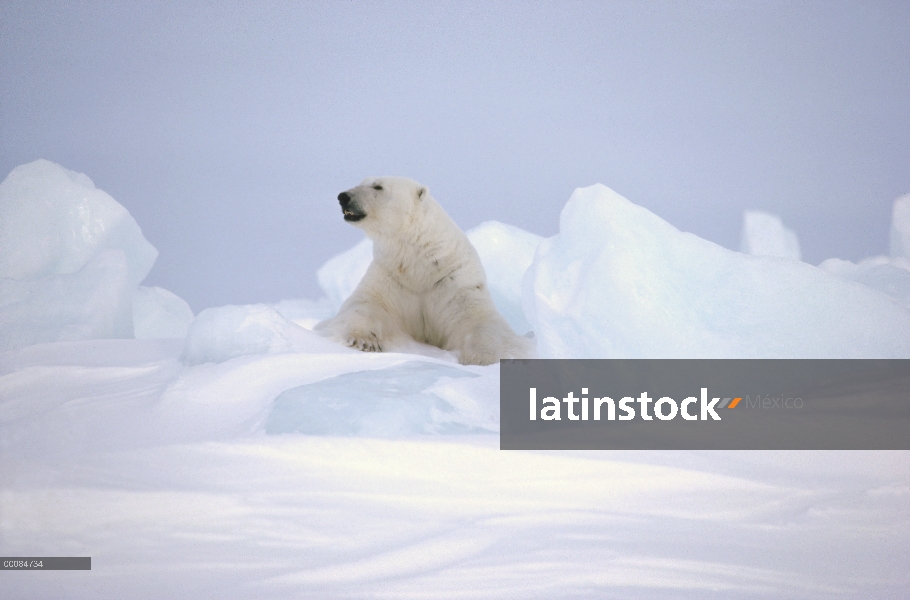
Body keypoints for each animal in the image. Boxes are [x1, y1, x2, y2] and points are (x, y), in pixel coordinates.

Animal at [318, 176, 536, 366]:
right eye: (361, 182)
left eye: (378, 186)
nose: (343, 196)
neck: (420, 267)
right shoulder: (389, 277)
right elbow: (365, 305)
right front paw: (363, 341)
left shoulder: (454, 283)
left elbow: (479, 320)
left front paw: (479, 357)